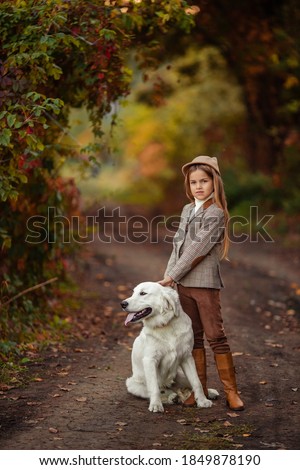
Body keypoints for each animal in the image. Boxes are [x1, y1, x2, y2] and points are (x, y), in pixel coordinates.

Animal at [120, 280, 218, 414]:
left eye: (143, 293)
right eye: (133, 292)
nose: (122, 304)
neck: (165, 325)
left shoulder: (186, 357)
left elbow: (196, 381)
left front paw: (202, 401)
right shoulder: (150, 360)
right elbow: (154, 388)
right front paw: (156, 405)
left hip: (180, 375)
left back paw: (209, 392)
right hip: (132, 384)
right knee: (160, 390)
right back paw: (171, 397)